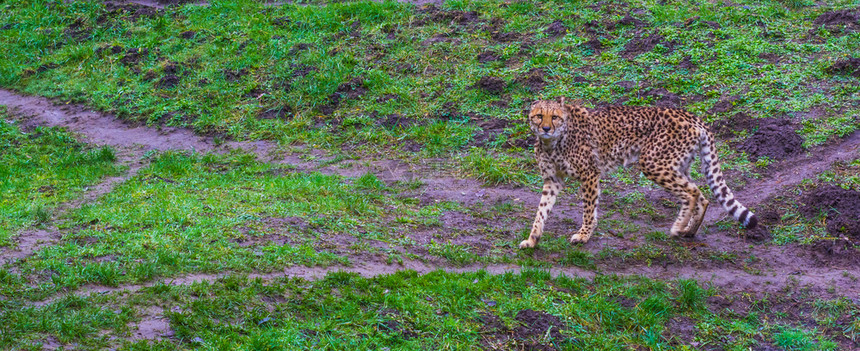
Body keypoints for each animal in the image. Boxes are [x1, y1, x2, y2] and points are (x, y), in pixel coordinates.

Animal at [520, 97, 756, 249]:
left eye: (555, 117)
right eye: (539, 116)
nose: (546, 128)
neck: (553, 142)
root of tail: (689, 114)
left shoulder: (589, 174)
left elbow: (588, 209)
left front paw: (584, 235)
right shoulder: (553, 180)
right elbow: (541, 211)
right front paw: (533, 239)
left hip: (653, 163)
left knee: (692, 193)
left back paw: (678, 227)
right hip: (676, 165)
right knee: (701, 195)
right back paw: (689, 231)